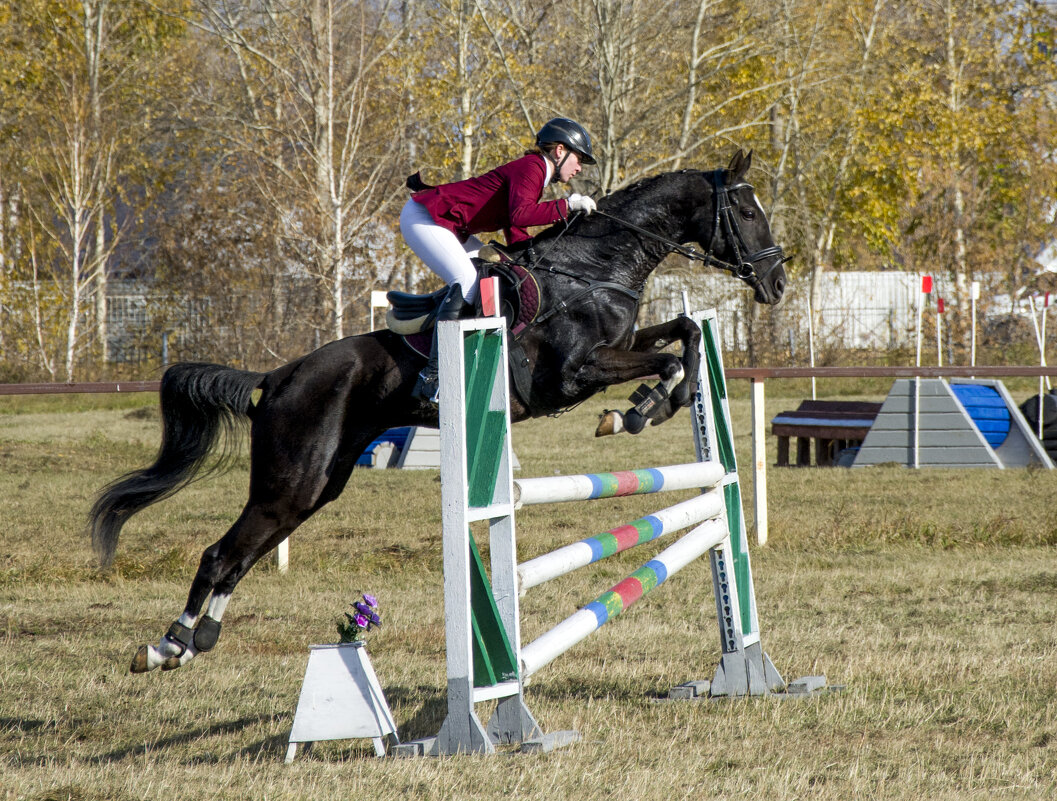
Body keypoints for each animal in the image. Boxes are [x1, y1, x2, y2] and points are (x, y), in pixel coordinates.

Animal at [88, 148, 786, 672]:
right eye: (746, 210)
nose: (777, 283)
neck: (595, 268)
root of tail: (279, 376)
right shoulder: (574, 374)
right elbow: (665, 359)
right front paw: (635, 411)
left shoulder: (620, 344)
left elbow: (685, 336)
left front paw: (657, 404)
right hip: (292, 475)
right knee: (221, 554)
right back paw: (166, 644)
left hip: (314, 487)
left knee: (244, 553)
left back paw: (195, 642)